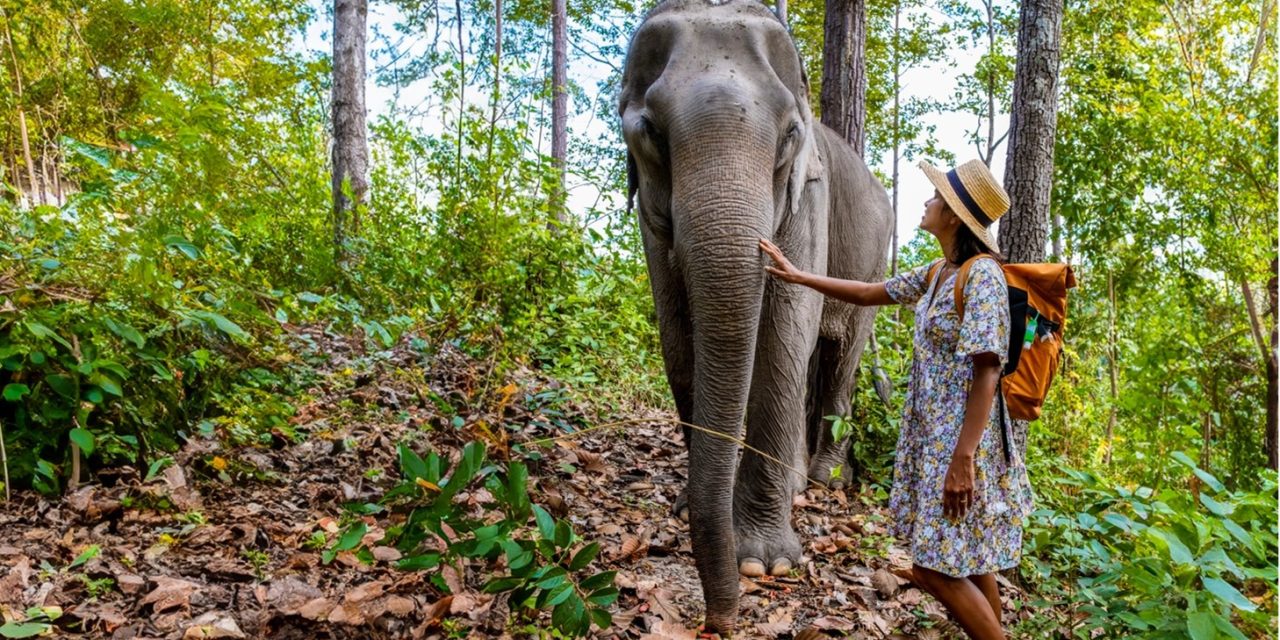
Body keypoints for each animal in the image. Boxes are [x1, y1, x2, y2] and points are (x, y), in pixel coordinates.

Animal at [618, 0, 893, 632]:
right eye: (649, 132)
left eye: (791, 133)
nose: (719, 620)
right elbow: (677, 332)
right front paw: (686, 507)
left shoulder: (810, 195)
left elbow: (787, 325)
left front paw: (764, 563)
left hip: (875, 258)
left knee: (840, 357)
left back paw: (820, 482)